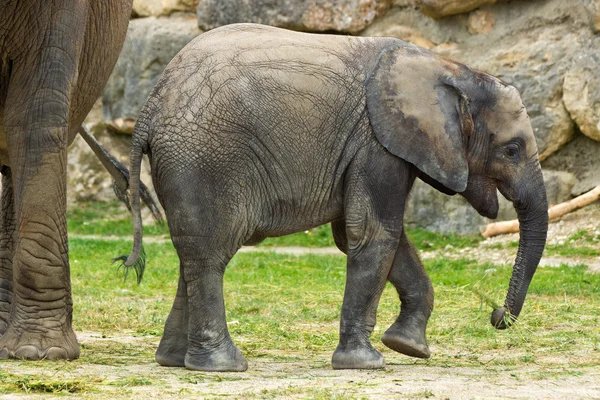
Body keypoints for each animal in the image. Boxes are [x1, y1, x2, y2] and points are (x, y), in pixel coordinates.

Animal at [123, 22, 548, 372]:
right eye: (512, 150)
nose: (496, 315)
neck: (451, 68)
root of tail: (151, 105)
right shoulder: (377, 143)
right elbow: (374, 234)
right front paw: (367, 363)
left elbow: (371, 235)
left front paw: (408, 347)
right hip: (207, 158)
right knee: (212, 252)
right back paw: (224, 367)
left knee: (192, 252)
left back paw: (175, 361)